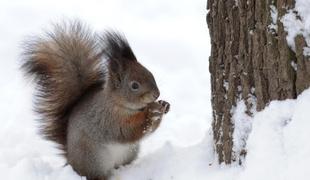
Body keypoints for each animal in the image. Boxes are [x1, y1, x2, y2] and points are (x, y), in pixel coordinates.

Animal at [20, 20, 171, 179]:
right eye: (134, 85)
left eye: (150, 73)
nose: (156, 94)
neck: (121, 104)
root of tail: (71, 162)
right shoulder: (108, 119)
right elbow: (128, 131)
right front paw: (152, 112)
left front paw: (164, 105)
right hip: (93, 158)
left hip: (129, 152)